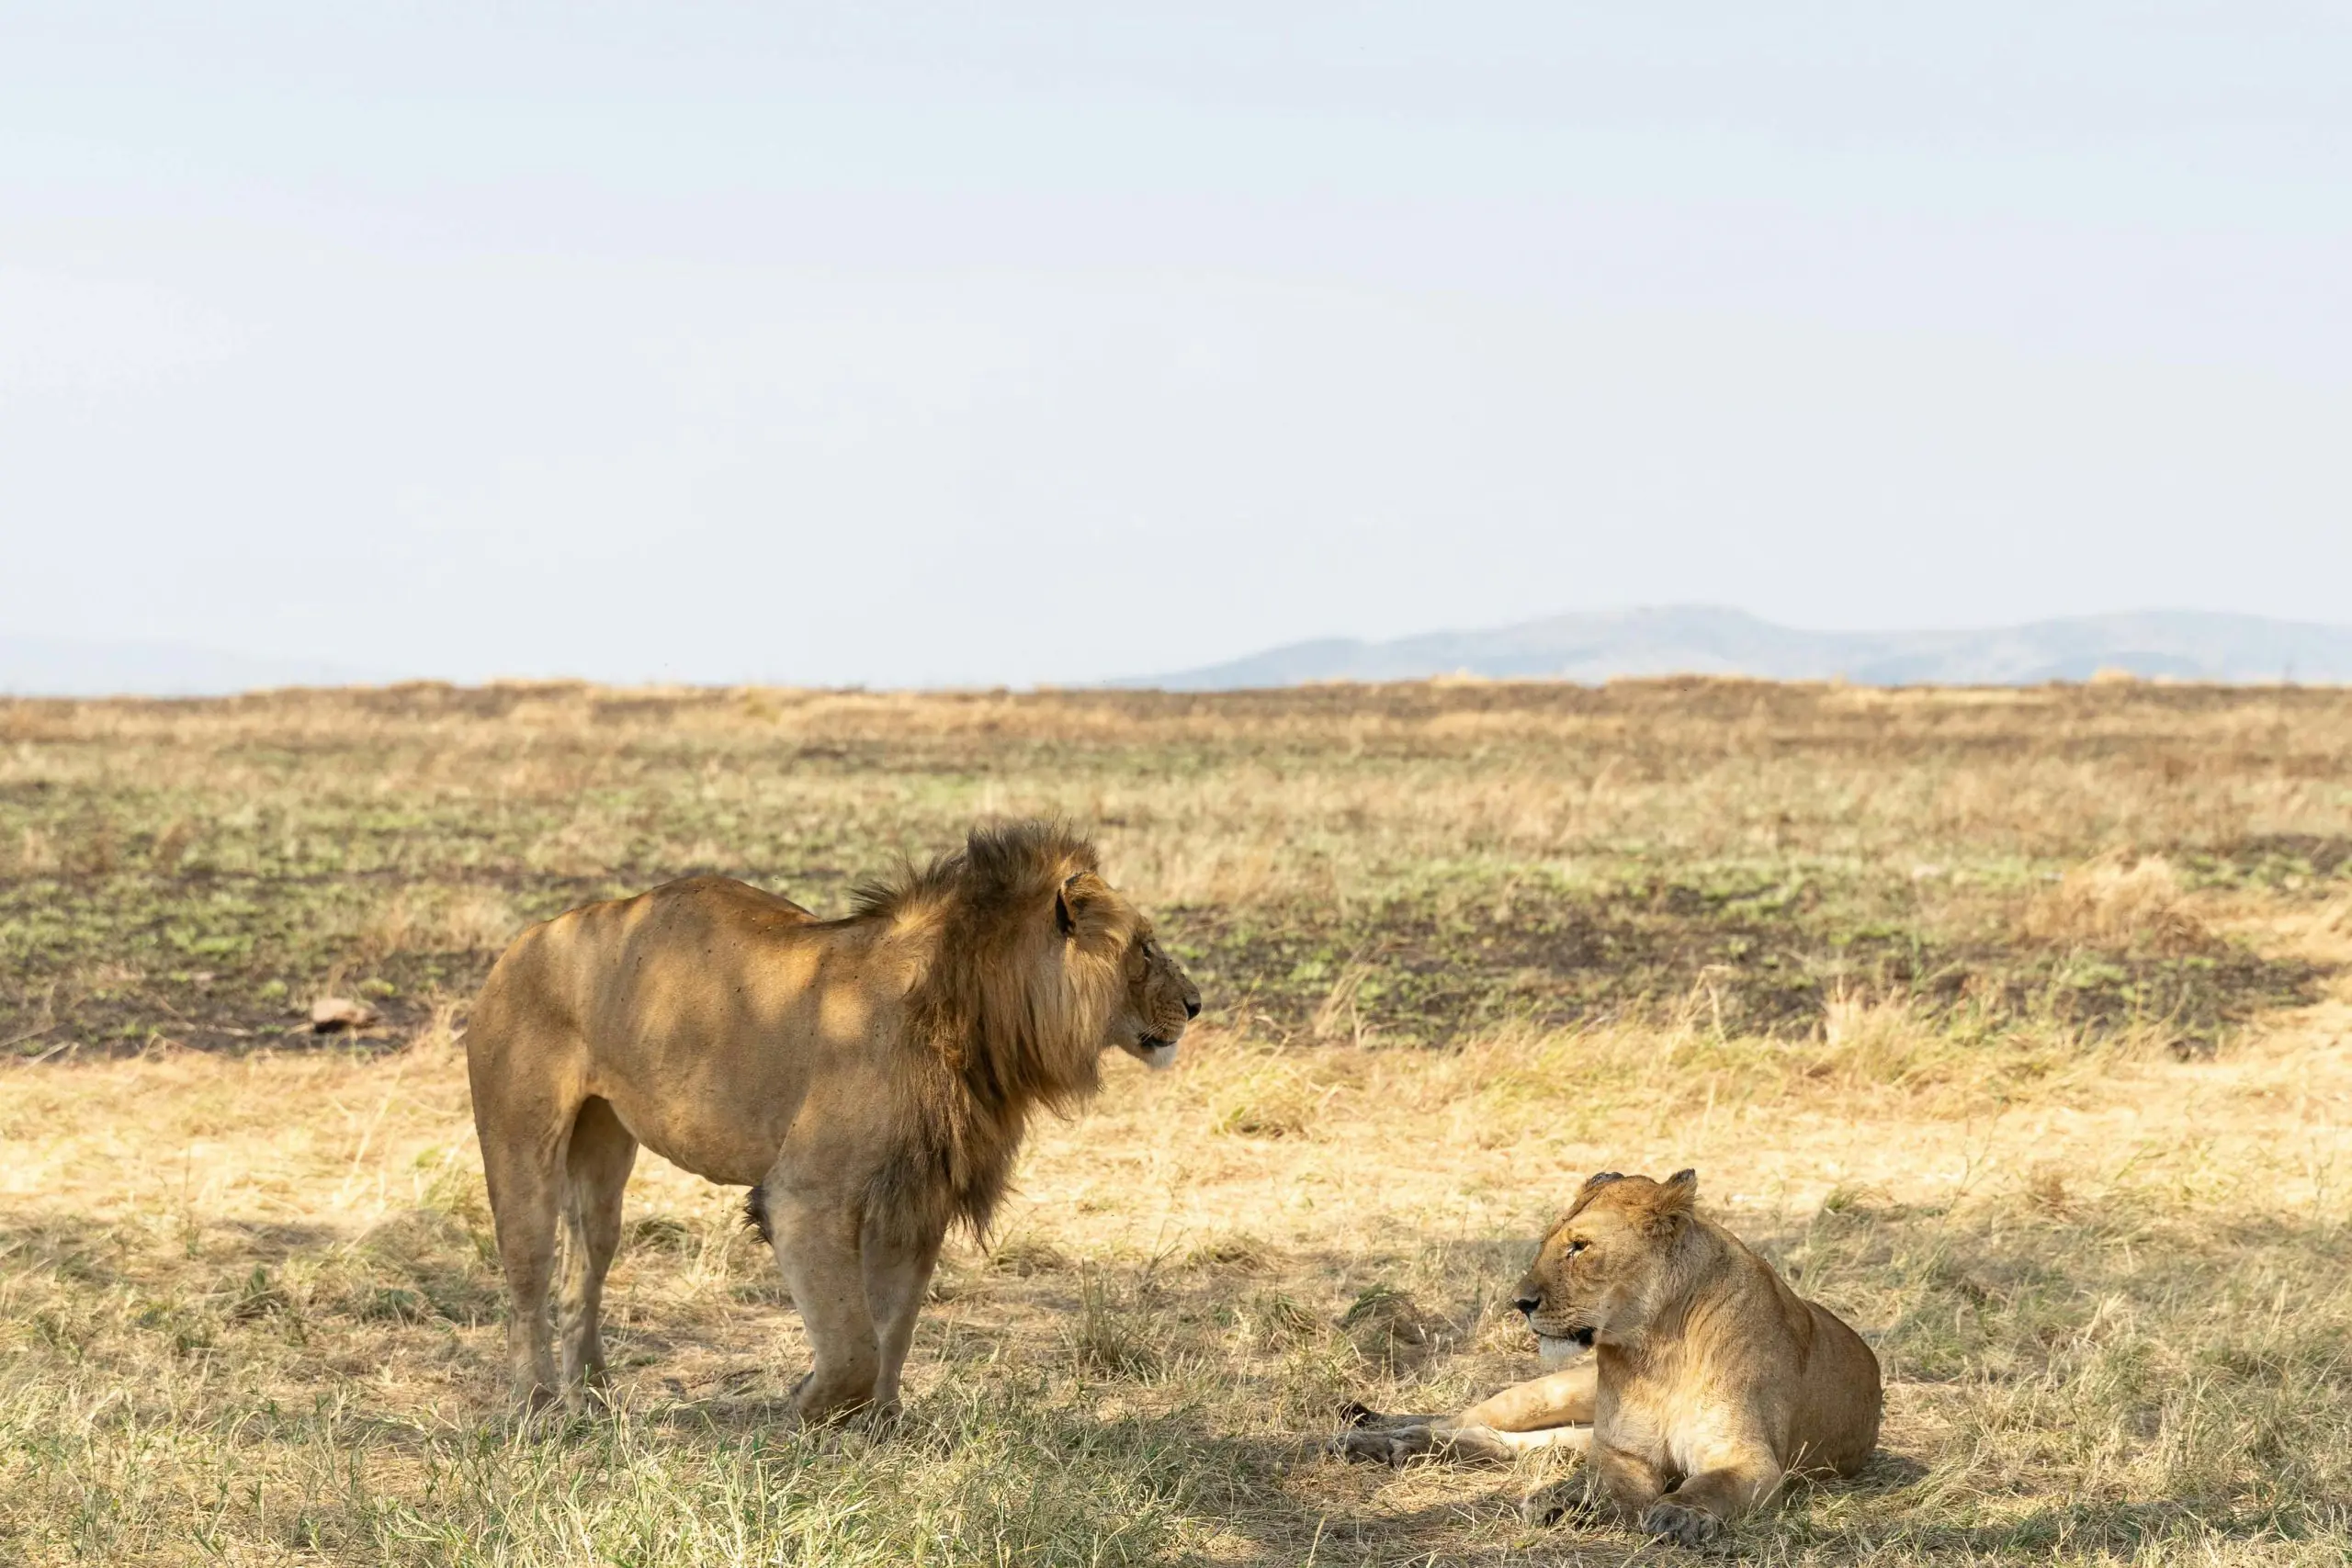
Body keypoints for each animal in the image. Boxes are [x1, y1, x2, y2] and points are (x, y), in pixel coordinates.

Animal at [464, 821, 1200, 1419]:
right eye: (1143, 949)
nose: (1196, 1004)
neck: (977, 1016)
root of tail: (528, 937)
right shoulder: (806, 1196)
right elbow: (851, 1342)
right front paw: (809, 1404)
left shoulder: (919, 1195)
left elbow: (893, 1323)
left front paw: (882, 1422)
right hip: (519, 1143)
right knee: (526, 1275)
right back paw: (537, 1405)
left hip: (605, 1148)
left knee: (584, 1267)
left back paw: (591, 1391)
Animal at [1341, 1169, 1881, 1548]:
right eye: (1547, 1244)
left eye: (1580, 1247)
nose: (1520, 1302)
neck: (1660, 1346)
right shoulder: (1622, 1451)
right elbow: (1605, 1486)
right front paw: (1566, 1502)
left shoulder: (1749, 1459)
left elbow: (1710, 1487)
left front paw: (1678, 1513)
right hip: (1551, 1391)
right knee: (1465, 1419)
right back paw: (1382, 1441)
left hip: (1575, 1431)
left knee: (1524, 1444)